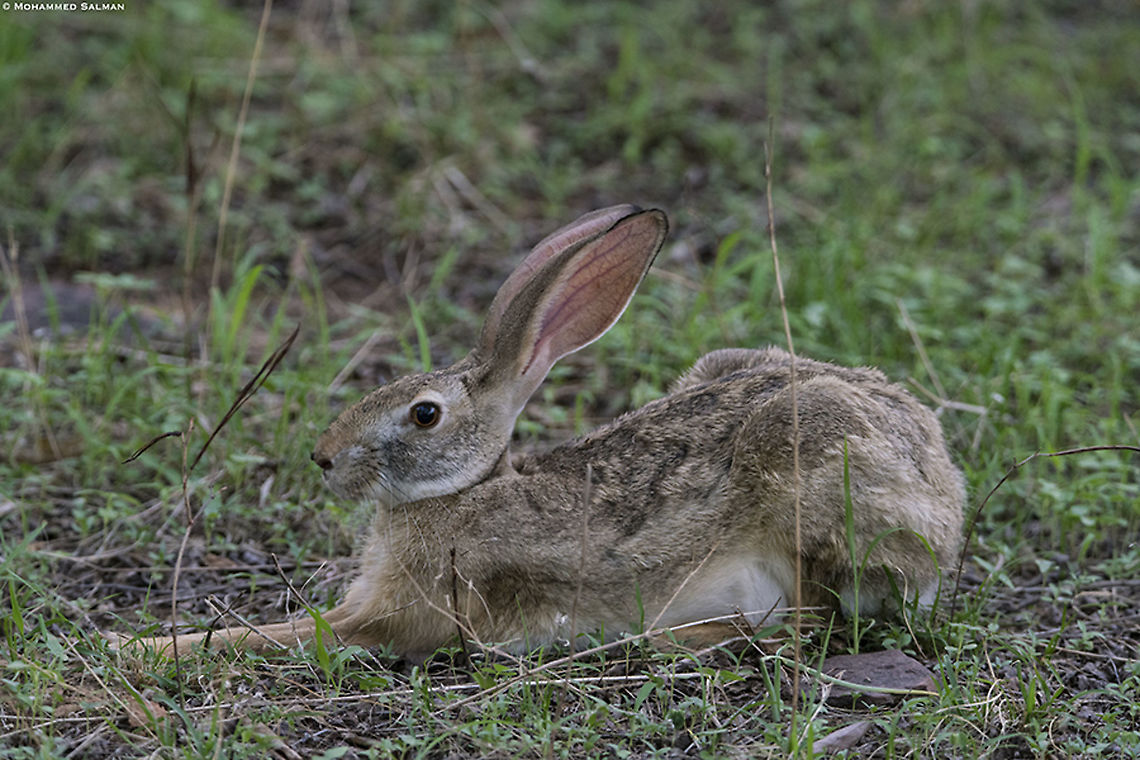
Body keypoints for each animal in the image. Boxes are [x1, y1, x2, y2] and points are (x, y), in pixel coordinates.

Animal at [120, 205, 964, 660]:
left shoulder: (399, 614)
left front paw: (138, 648)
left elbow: (283, 633)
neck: (461, 494)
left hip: (809, 466)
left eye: (423, 414)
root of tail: (943, 495)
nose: (324, 458)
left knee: (807, 622)